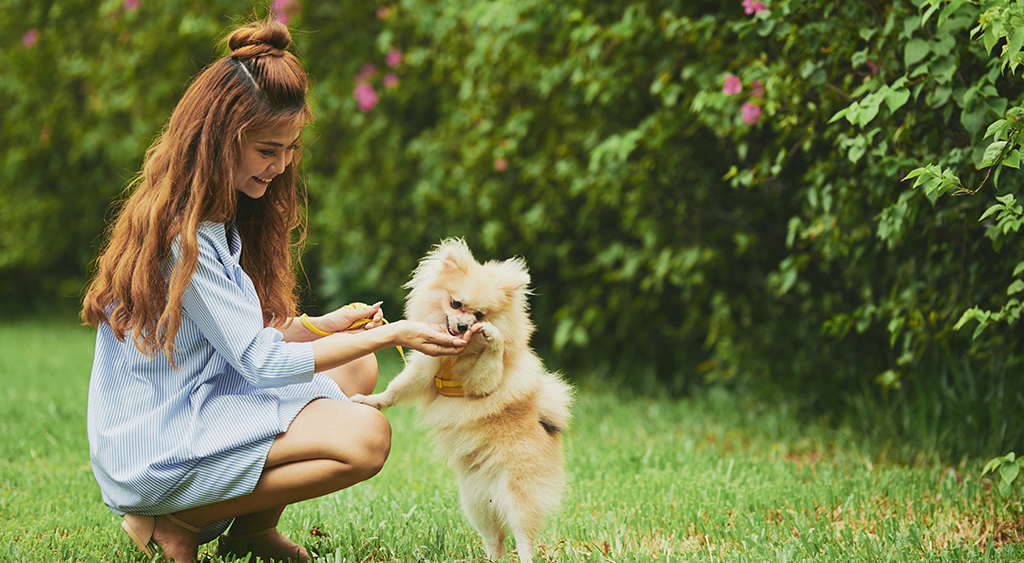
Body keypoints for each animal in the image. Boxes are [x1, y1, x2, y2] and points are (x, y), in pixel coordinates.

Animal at [352, 239, 577, 563]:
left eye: (480, 315)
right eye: (456, 304)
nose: (461, 326)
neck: (457, 355)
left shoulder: (481, 383)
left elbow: (491, 364)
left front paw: (493, 338)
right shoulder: (426, 369)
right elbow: (396, 388)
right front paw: (373, 401)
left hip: (519, 492)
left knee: (523, 537)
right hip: (475, 501)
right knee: (495, 538)